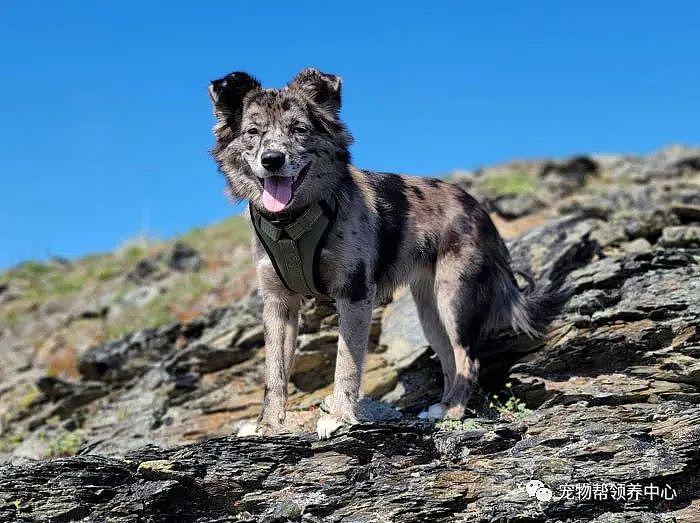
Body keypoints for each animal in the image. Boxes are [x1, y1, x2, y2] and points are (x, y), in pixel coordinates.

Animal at [208, 67, 556, 440]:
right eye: (253, 132)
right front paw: (268, 425)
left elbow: (346, 363)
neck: (292, 220)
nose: (272, 160)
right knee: (449, 357)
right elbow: (274, 374)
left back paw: (454, 412)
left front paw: (340, 415)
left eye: (298, 129)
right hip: (429, 310)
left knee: (467, 359)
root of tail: (479, 209)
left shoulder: (355, 293)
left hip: (454, 298)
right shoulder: (278, 303)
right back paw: (441, 407)